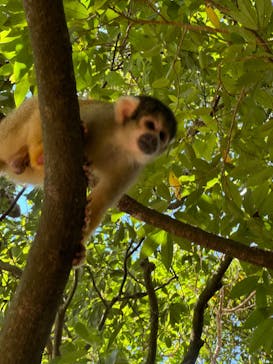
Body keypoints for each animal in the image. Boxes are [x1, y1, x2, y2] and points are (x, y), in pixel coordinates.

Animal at [0, 95, 176, 262]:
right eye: (150, 125)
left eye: (162, 135)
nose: (154, 141)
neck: (120, 142)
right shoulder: (99, 116)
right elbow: (45, 112)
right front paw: (38, 155)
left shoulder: (130, 169)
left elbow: (102, 201)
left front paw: (81, 238)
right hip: (9, 133)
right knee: (32, 108)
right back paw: (36, 157)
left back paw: (20, 162)